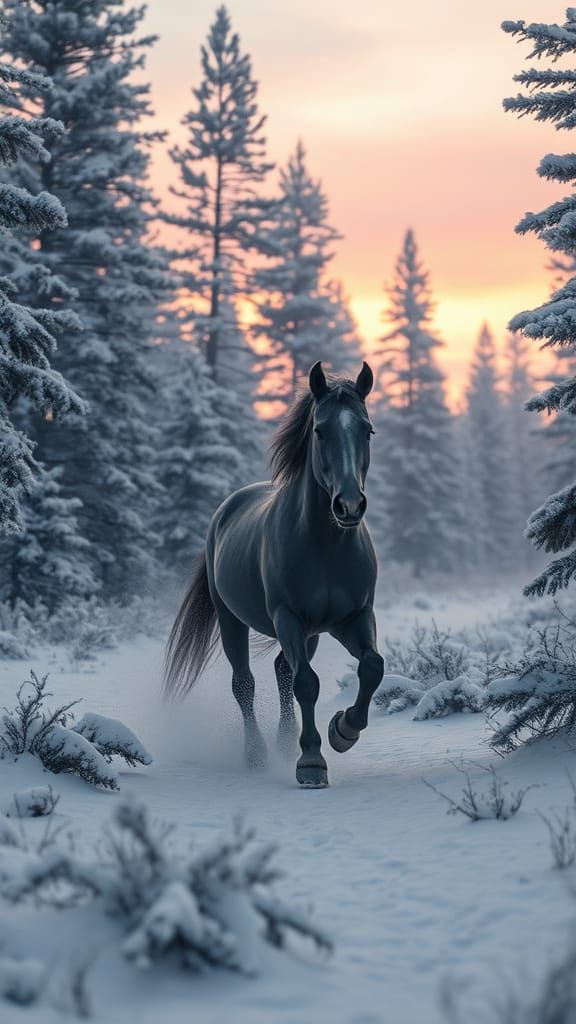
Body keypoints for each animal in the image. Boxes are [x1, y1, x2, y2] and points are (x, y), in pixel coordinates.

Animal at [164, 360, 384, 788]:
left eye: (367, 430)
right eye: (320, 430)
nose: (349, 506)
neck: (326, 547)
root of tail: (226, 509)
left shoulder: (353, 617)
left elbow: (371, 667)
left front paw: (343, 730)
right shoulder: (288, 617)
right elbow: (306, 683)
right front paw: (311, 762)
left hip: (311, 632)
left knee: (283, 671)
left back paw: (285, 743)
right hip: (232, 620)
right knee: (245, 684)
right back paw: (257, 755)